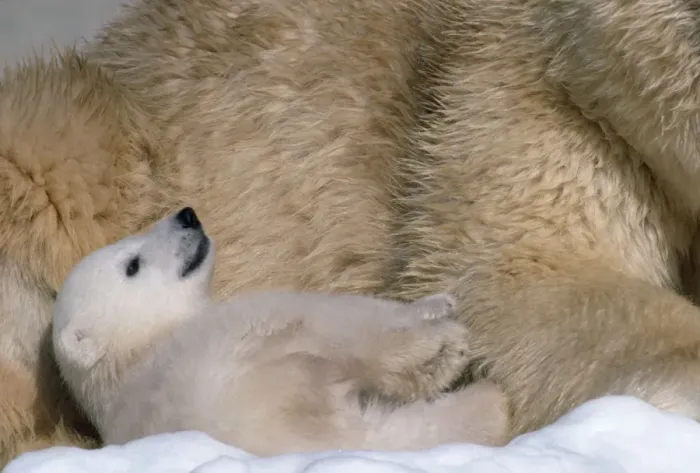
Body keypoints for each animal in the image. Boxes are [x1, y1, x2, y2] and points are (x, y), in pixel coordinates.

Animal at [52, 207, 509, 453]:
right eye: (132, 265)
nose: (187, 215)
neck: (135, 353)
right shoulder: (238, 325)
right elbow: (342, 317)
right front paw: (438, 318)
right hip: (270, 369)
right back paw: (461, 371)